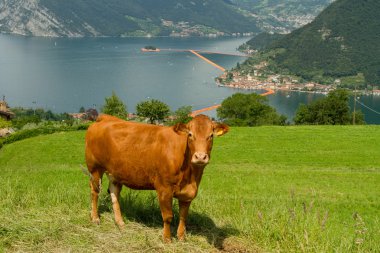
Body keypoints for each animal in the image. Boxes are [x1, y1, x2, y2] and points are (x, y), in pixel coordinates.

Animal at [85, 113, 229, 242]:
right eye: (190, 134)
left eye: (211, 136)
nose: (200, 157)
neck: (191, 176)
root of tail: (104, 117)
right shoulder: (164, 188)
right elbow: (168, 216)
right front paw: (167, 239)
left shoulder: (188, 193)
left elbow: (183, 216)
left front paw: (181, 237)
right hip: (95, 168)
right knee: (95, 192)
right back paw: (95, 218)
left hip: (115, 173)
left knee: (114, 193)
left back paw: (120, 222)